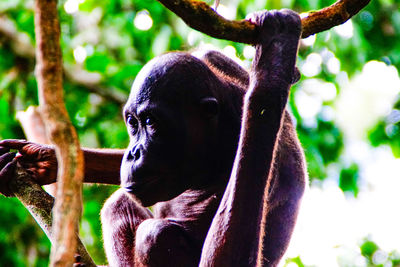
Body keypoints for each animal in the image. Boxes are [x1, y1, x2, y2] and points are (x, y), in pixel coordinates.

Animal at [0, 9, 306, 266]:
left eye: (151, 122)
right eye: (132, 123)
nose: (133, 153)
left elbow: (227, 259)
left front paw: (272, 66)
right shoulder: (220, 65)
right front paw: (44, 160)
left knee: (155, 235)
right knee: (119, 205)